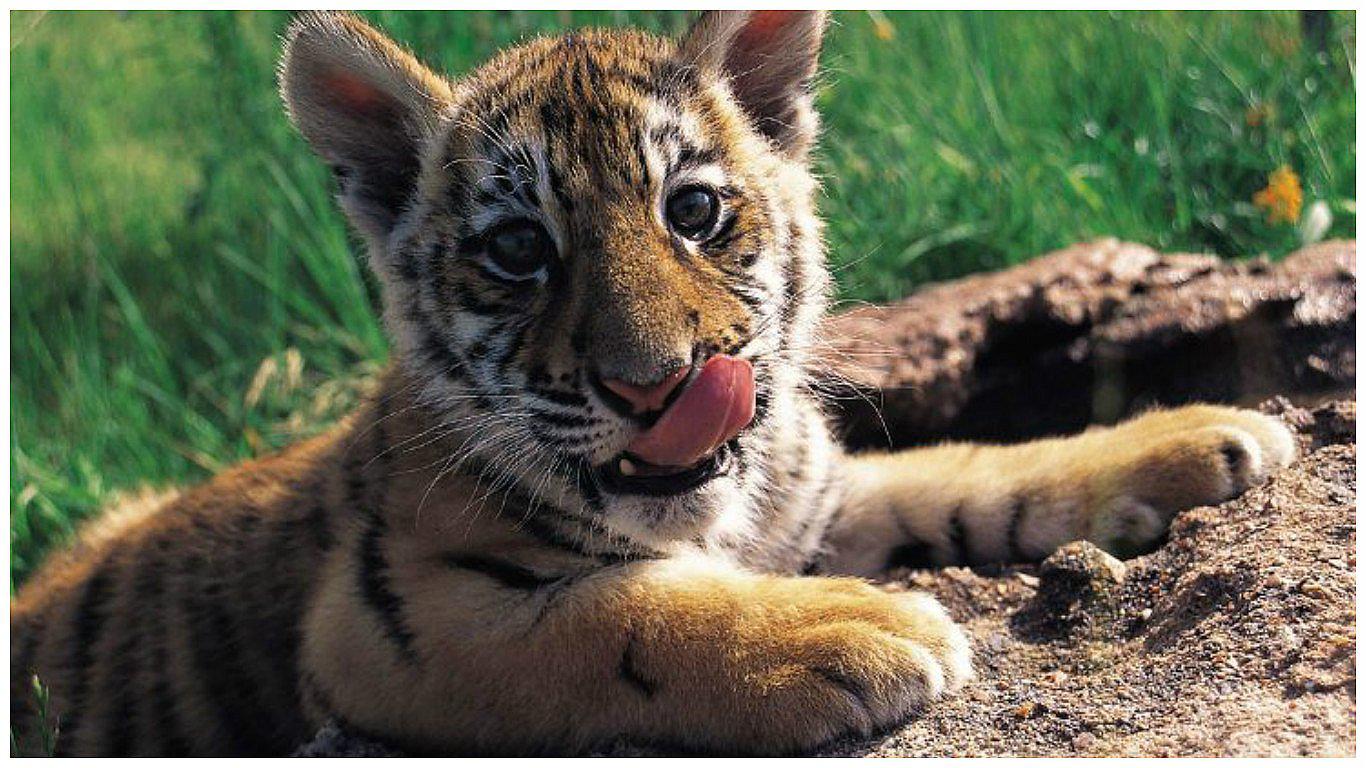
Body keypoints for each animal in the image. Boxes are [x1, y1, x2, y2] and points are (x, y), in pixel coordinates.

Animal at [9, 10, 1297, 756]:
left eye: (694, 210)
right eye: (517, 249)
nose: (657, 386)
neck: (721, 511)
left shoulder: (814, 495)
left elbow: (972, 469)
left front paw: (1202, 438)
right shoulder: (392, 620)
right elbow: (624, 613)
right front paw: (861, 625)